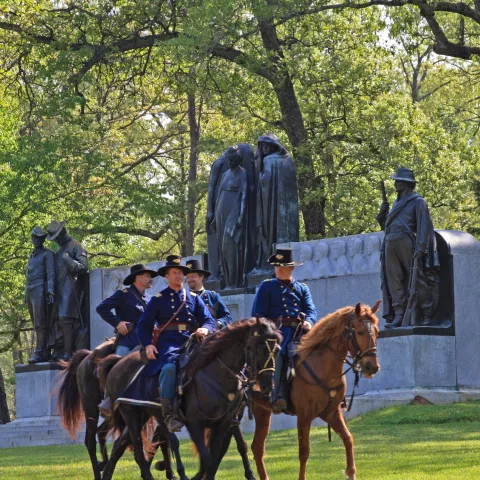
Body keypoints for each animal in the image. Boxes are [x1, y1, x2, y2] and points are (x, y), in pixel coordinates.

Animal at [249, 302, 380, 480]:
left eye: (376, 332)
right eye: (359, 331)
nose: (372, 367)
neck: (323, 368)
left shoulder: (332, 412)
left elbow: (348, 438)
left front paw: (351, 473)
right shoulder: (304, 416)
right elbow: (304, 452)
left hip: (261, 411)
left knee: (257, 447)